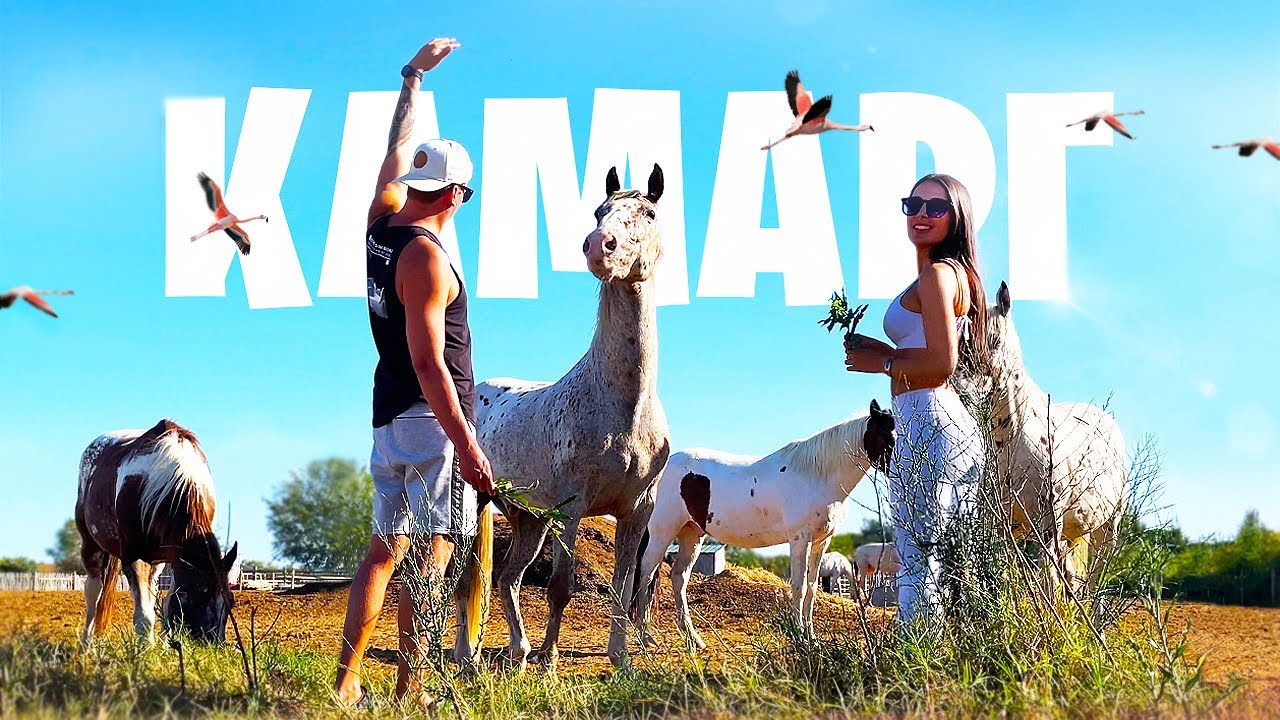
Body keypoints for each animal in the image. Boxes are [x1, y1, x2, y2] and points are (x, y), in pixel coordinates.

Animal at [76, 419, 237, 644]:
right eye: (200, 595)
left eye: (231, 601)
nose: (214, 644)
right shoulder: (133, 557)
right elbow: (144, 615)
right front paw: (145, 650)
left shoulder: (173, 557)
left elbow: (167, 602)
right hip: (91, 544)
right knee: (93, 592)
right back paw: (87, 644)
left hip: (156, 561)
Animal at [470, 165, 670, 669]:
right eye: (600, 211)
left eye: (649, 212)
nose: (600, 246)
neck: (624, 409)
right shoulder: (572, 508)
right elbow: (561, 587)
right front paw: (551, 658)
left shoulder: (636, 511)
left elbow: (622, 586)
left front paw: (620, 659)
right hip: (484, 506)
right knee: (470, 576)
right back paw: (476, 651)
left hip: (529, 519)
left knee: (507, 577)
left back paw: (518, 648)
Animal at [634, 400, 895, 648]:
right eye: (886, 435)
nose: (895, 474)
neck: (816, 475)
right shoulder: (800, 538)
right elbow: (799, 587)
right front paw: (800, 637)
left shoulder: (821, 541)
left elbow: (812, 588)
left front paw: (811, 638)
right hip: (662, 533)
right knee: (646, 575)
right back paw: (645, 637)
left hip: (692, 534)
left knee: (679, 578)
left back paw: (693, 639)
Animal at [957, 282, 1127, 595]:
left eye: (995, 340)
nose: (963, 393)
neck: (1013, 443)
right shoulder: (999, 526)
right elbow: (1007, 581)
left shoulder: (1048, 524)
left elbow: (1047, 581)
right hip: (1071, 532)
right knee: (1072, 579)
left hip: (1106, 527)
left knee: (1095, 579)